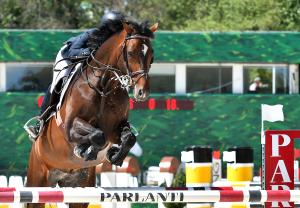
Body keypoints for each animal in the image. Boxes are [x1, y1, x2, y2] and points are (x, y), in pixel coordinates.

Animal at [25, 20, 158, 208]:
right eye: (131, 52)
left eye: (151, 55)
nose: (142, 93)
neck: (103, 87)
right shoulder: (70, 127)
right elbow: (98, 135)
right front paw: (85, 150)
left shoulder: (115, 129)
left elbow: (128, 138)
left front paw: (115, 156)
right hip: (38, 179)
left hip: (79, 189)